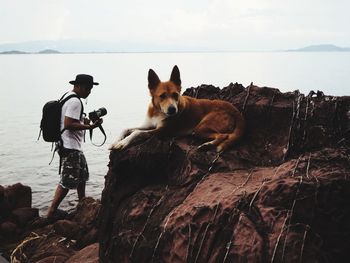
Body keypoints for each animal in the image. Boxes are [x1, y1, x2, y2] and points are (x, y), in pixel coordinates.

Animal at [110, 65, 245, 153]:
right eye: (162, 96)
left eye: (175, 94)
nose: (172, 110)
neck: (158, 111)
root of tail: (233, 108)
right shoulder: (148, 125)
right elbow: (127, 129)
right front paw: (116, 141)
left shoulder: (161, 131)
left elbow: (137, 133)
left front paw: (123, 143)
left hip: (201, 127)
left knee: (223, 135)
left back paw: (207, 145)